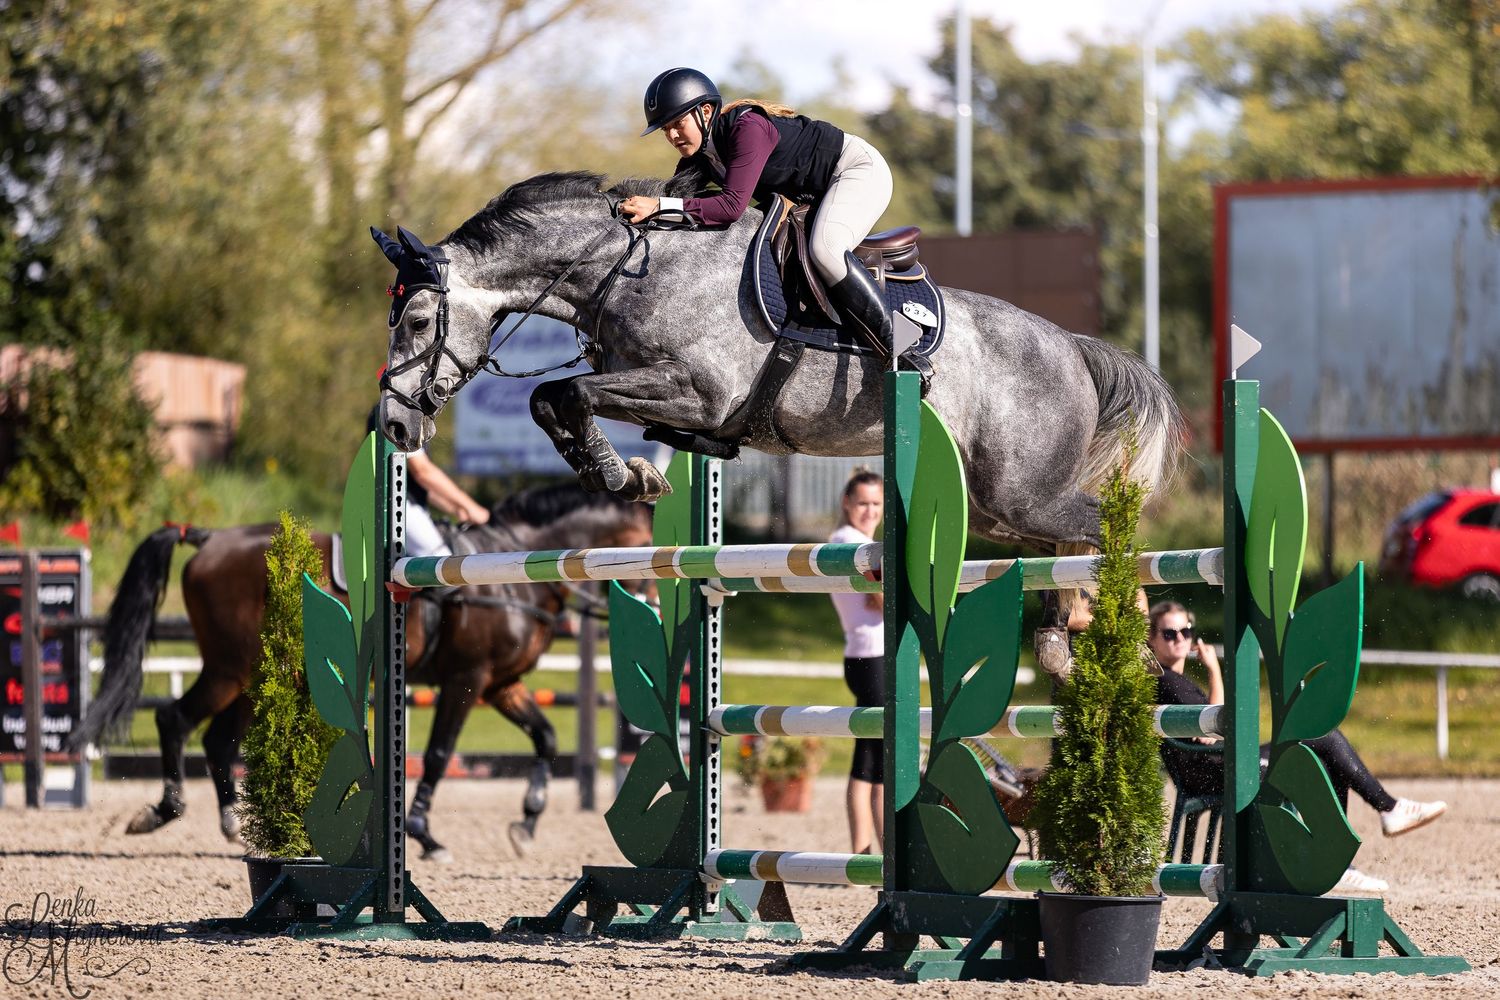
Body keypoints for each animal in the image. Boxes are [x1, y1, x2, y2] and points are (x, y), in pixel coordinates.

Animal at [73, 484, 653, 861]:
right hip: (232, 668)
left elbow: (546, 737)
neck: (513, 577)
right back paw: (165, 811)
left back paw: (231, 824)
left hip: (253, 676)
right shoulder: (466, 680)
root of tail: (209, 538)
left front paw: (527, 825)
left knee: (215, 737)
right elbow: (439, 755)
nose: (653, 614)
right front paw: (424, 834)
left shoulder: (502, 685)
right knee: (174, 719)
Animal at [372, 170, 1183, 604]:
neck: (627, 266)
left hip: (1023, 493)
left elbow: (567, 395)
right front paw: (621, 472)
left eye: (415, 320)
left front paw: (622, 474)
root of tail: (1072, 347)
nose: (394, 428)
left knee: (1111, 529)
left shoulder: (695, 391)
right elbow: (551, 399)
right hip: (997, 509)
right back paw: (1065, 642)